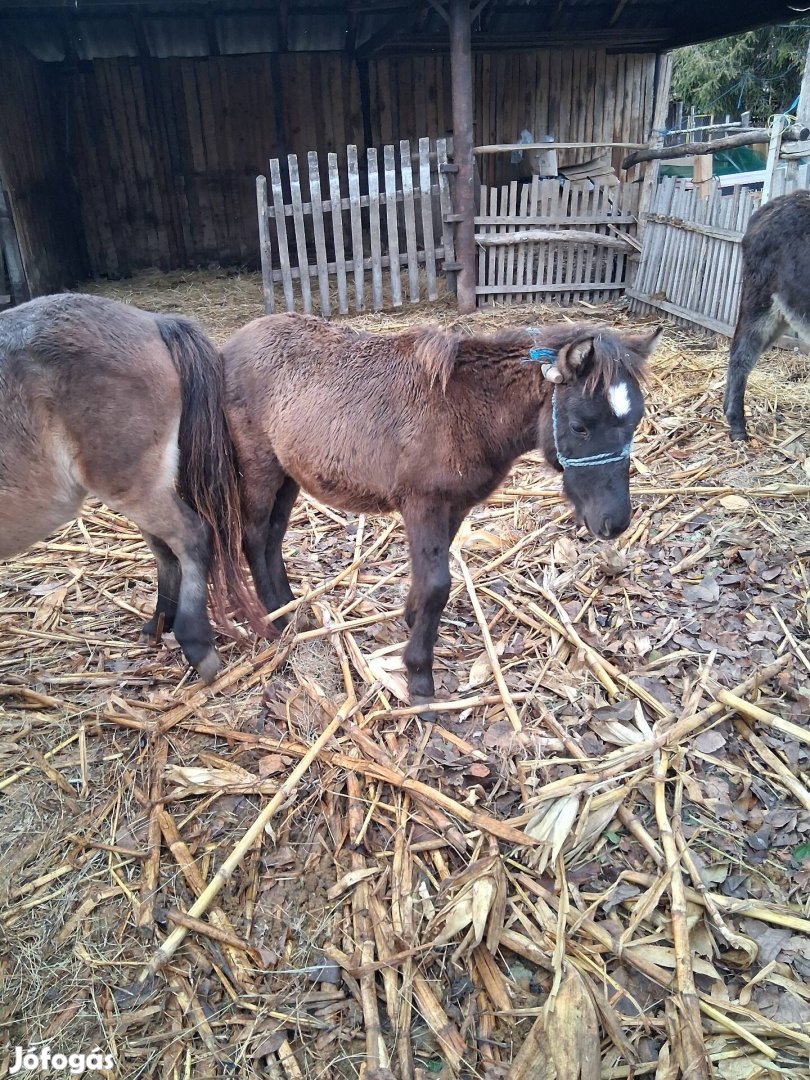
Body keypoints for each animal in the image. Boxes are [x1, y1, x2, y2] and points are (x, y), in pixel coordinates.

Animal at [0, 291, 260, 678]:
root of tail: (153, 320)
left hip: (134, 487)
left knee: (191, 536)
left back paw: (195, 641)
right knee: (166, 551)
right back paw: (159, 622)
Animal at [223, 313, 660, 704]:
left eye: (635, 421)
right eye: (579, 425)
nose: (614, 521)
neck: (467, 408)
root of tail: (233, 344)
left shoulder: (455, 506)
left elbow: (428, 574)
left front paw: (413, 621)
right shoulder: (423, 503)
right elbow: (437, 584)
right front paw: (419, 676)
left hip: (288, 474)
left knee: (273, 537)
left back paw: (288, 605)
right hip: (260, 467)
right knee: (255, 536)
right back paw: (275, 620)